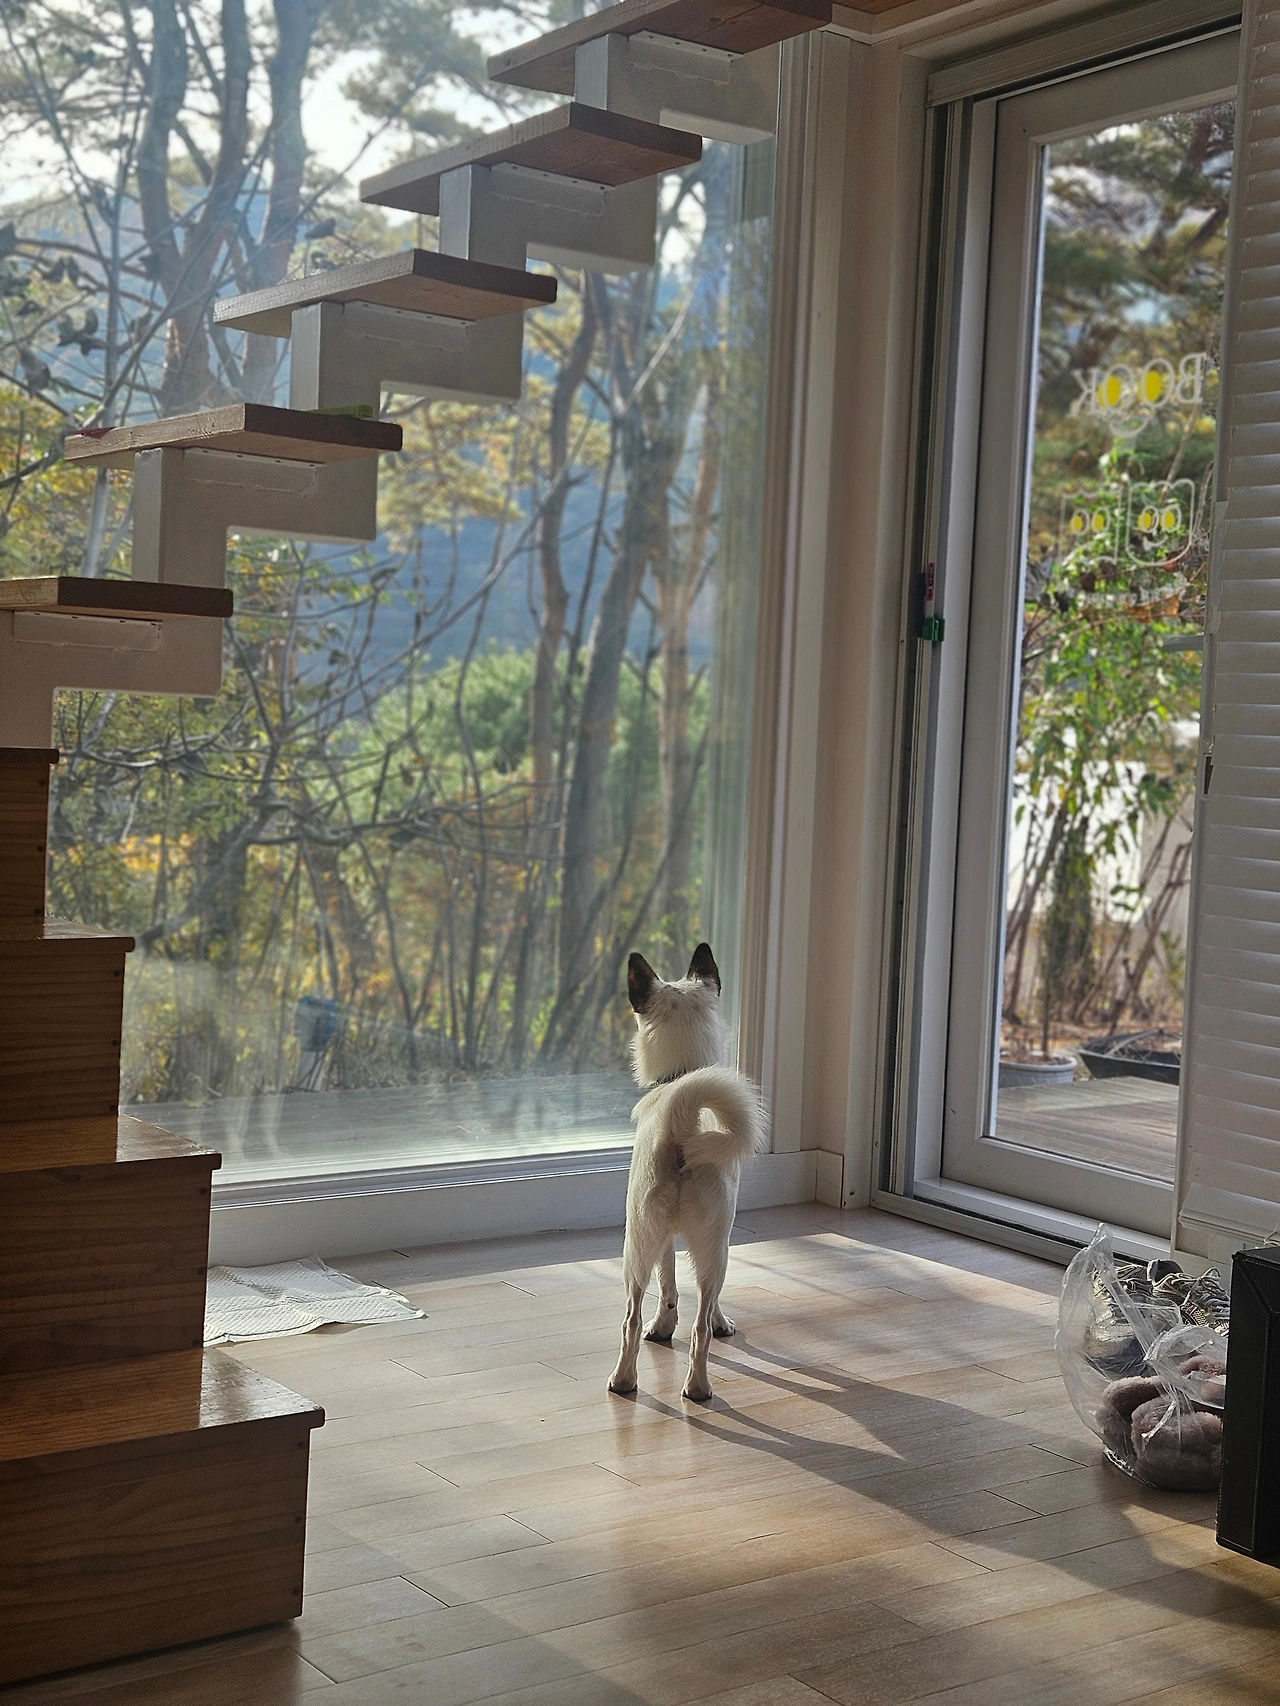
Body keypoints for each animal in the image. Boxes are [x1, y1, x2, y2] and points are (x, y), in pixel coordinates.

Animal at [608, 942, 767, 1403]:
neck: (679, 1079)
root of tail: (681, 1124)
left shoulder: (670, 1242)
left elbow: (669, 1287)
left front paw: (663, 1328)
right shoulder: (720, 1243)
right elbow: (695, 1298)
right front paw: (719, 1322)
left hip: (638, 1244)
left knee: (633, 1319)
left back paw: (631, 1381)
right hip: (710, 1248)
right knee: (697, 1327)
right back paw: (695, 1385)